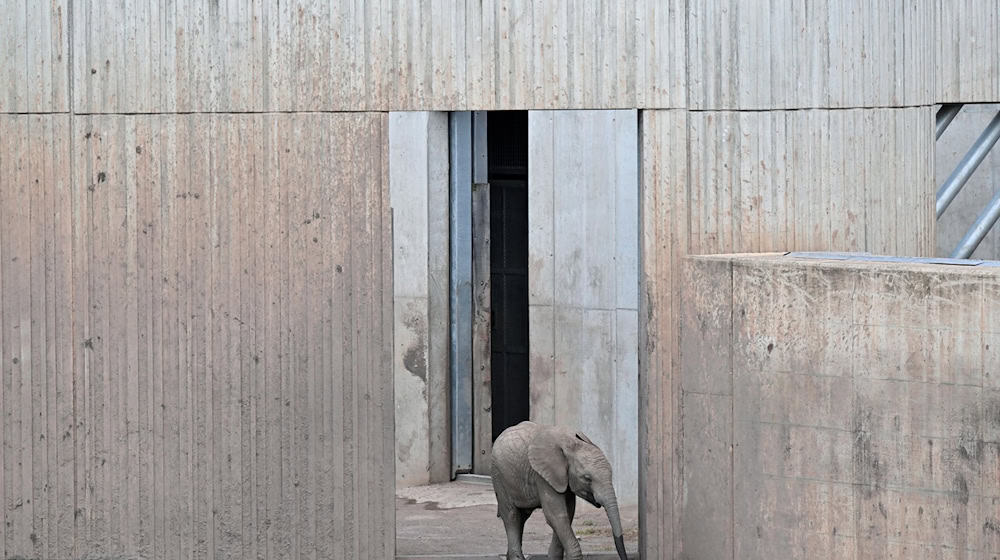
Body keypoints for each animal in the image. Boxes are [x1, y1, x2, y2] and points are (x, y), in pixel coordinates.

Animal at [490, 422, 624, 556]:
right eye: (587, 478)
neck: (571, 443)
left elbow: (567, 514)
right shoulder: (542, 475)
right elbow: (556, 515)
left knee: (522, 517)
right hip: (499, 475)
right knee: (512, 516)